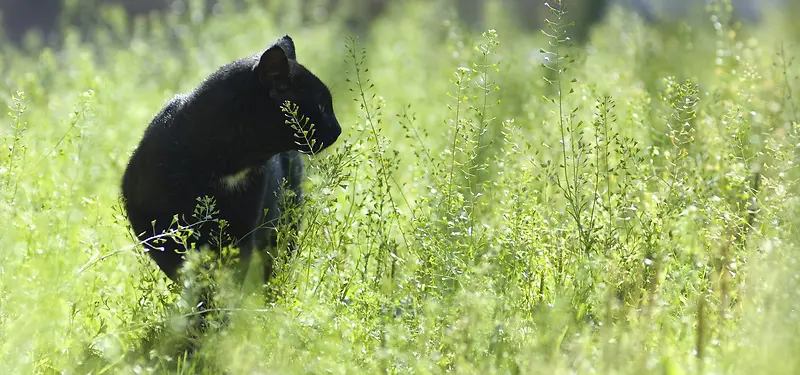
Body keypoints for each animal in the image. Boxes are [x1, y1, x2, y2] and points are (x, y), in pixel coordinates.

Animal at [121, 35, 340, 284]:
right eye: (321, 107)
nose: (338, 129)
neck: (227, 164)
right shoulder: (156, 229)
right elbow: (184, 271)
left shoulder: (241, 232)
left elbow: (230, 277)